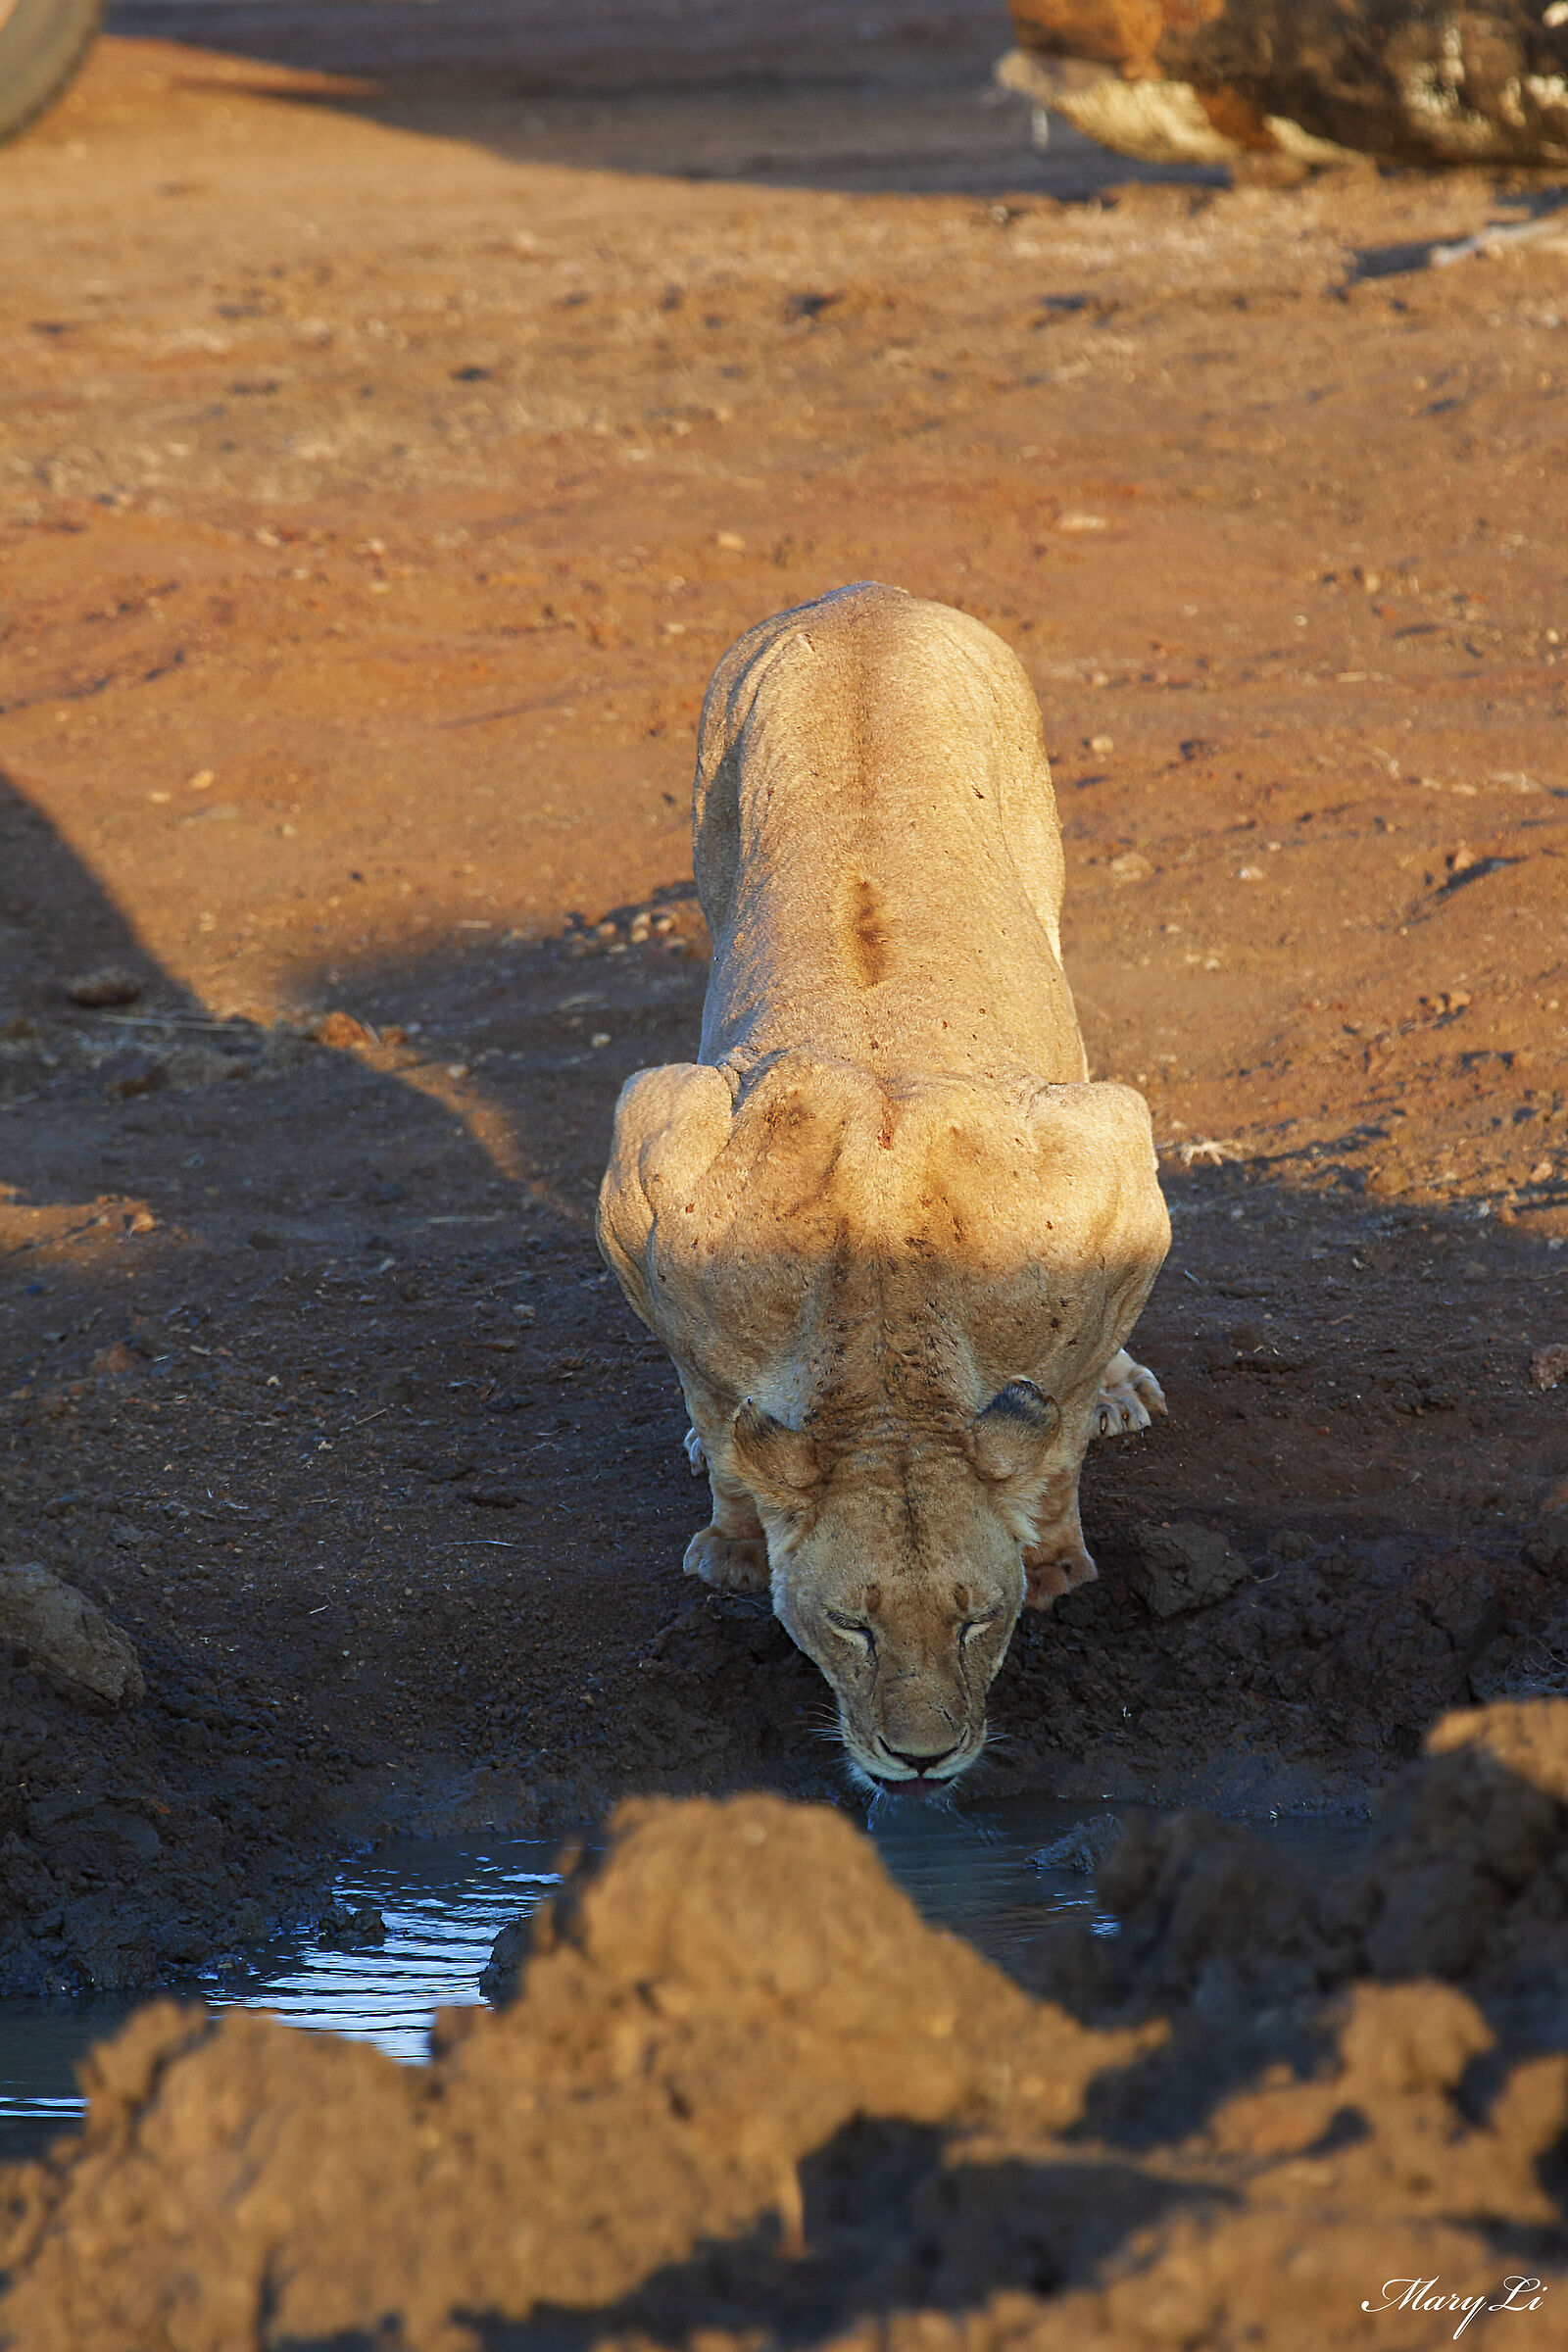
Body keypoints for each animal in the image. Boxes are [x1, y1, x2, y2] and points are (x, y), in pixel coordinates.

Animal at [598, 583, 1170, 1790]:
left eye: (978, 1619)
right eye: (847, 1626)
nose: (921, 1762)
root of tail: (865, 596)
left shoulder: (1110, 1161)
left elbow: (1057, 1416)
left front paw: (1061, 1547)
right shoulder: (648, 1165)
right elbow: (713, 1401)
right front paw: (732, 1539)